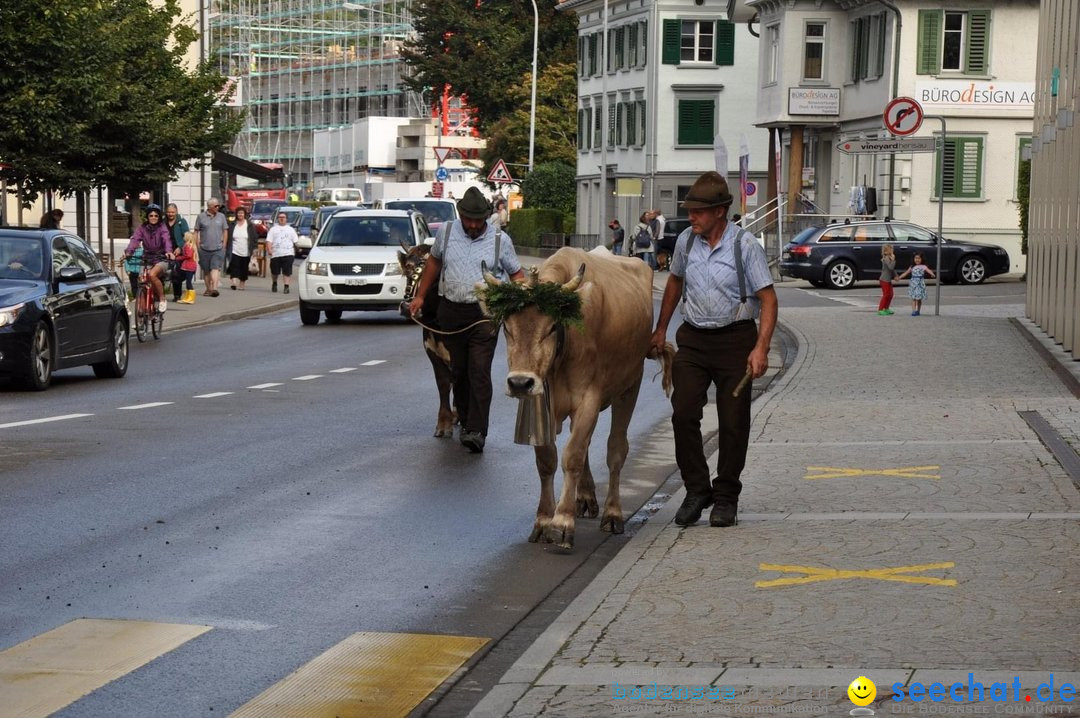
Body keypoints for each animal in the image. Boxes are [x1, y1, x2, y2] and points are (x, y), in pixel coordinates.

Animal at [401, 241, 460, 436]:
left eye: (435, 278)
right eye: (408, 270)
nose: (407, 307)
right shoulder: (431, 351)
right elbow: (443, 383)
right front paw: (443, 423)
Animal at [479, 246, 665, 548]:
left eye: (553, 326)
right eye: (507, 327)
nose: (519, 382)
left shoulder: (589, 398)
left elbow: (573, 456)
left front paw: (562, 521)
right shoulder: (538, 399)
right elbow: (547, 460)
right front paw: (544, 519)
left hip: (630, 385)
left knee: (616, 449)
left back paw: (612, 513)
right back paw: (586, 497)